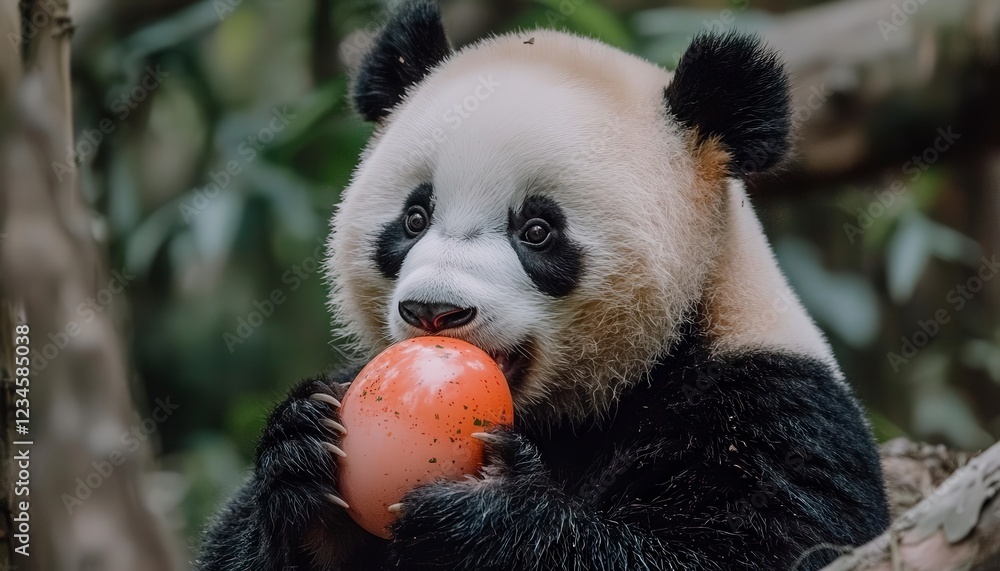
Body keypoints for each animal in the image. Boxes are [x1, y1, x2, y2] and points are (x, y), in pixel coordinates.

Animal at [198, 1, 890, 570]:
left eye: (536, 230)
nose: (434, 310)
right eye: (415, 217)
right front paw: (300, 454)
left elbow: (757, 546)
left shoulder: (770, 412)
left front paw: (490, 515)